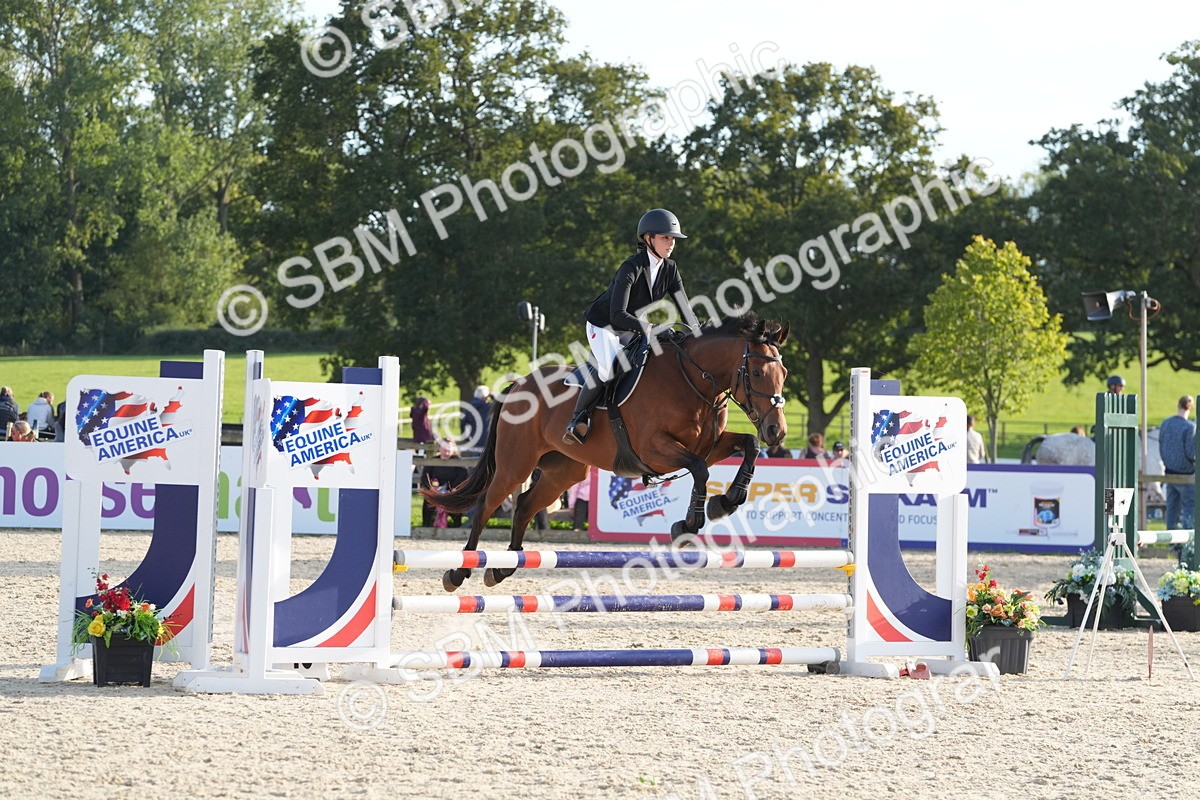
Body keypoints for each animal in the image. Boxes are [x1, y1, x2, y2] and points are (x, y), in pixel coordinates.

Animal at [421, 312, 791, 592]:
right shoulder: (655, 449)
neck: (692, 380)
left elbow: (748, 446)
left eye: (784, 374)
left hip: (564, 471)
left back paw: (503, 568)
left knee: (525, 505)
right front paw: (689, 523)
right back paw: (459, 572)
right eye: (756, 372)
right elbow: (700, 469)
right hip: (516, 464)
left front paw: (725, 501)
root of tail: (519, 385)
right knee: (486, 505)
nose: (778, 431)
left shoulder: (708, 445)